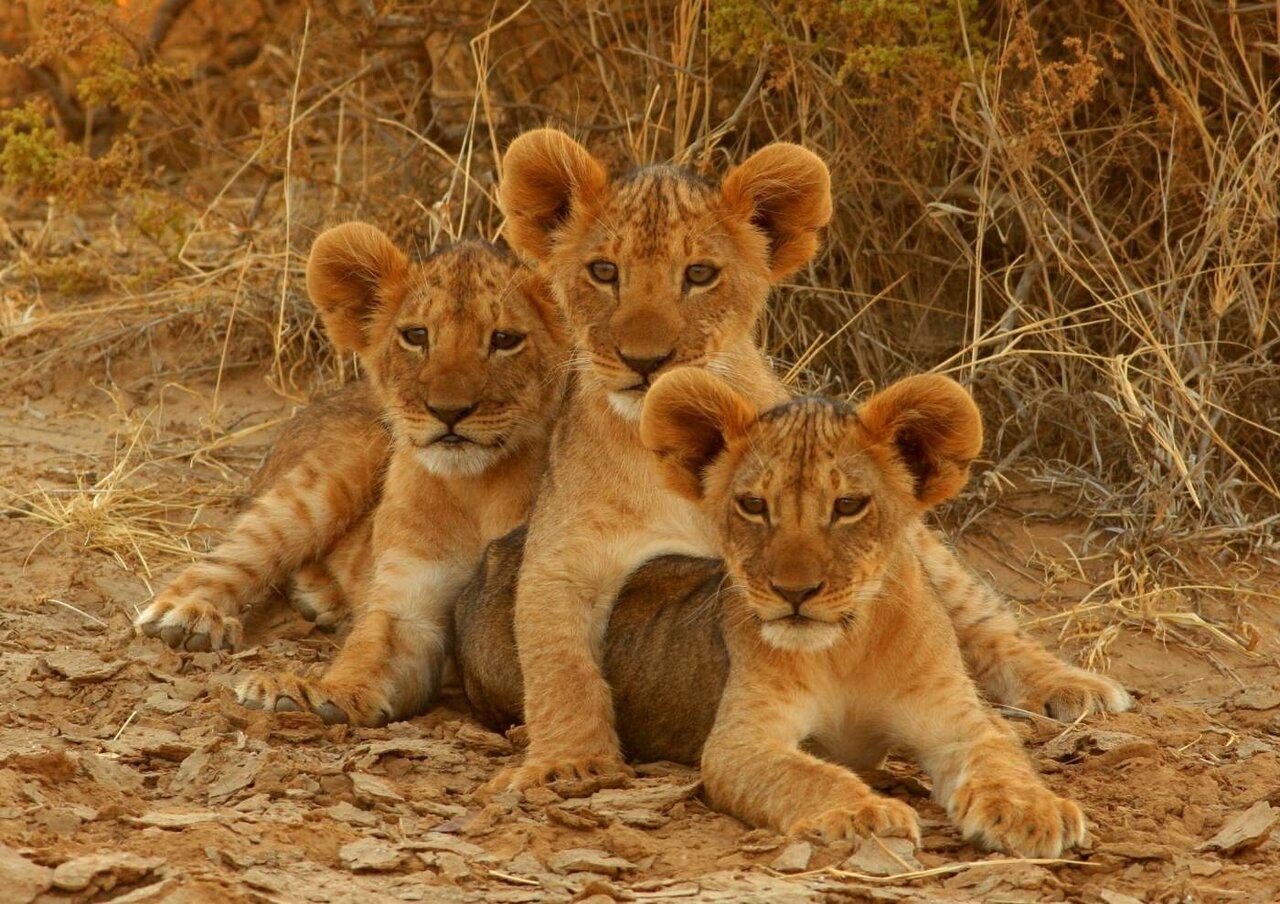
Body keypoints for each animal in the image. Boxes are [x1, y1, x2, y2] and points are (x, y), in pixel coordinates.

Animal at [134, 222, 570, 726]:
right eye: (416, 335)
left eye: (504, 340)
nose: (448, 411)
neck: (475, 487)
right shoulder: (407, 603)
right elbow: (368, 651)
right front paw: (311, 693)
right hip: (327, 479)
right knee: (234, 556)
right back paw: (186, 616)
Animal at [461, 369, 1090, 857]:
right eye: (753, 505)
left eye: (848, 505)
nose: (794, 591)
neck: (846, 647)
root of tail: (499, 550)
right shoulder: (741, 742)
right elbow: (805, 775)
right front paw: (864, 814)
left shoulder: (957, 717)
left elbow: (1001, 755)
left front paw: (1035, 812)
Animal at [489, 129, 1129, 788]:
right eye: (603, 271)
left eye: (699, 274)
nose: (646, 362)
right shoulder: (560, 558)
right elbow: (559, 665)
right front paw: (569, 762)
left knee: (983, 619)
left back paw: (1069, 687)